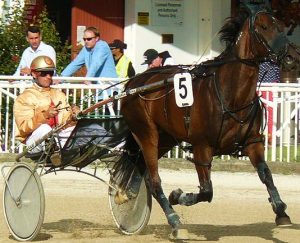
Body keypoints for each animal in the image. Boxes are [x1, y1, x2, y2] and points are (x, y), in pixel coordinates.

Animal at [113, 5, 292, 239]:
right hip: (147, 135)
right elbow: (206, 191)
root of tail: (132, 84)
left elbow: (267, 175)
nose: (290, 56)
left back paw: (129, 194)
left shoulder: (253, 142)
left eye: (281, 26)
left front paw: (280, 210)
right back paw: (175, 222)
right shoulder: (201, 147)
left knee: (141, 167)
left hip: (166, 138)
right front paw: (178, 195)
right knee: (154, 180)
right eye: (263, 27)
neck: (231, 95)